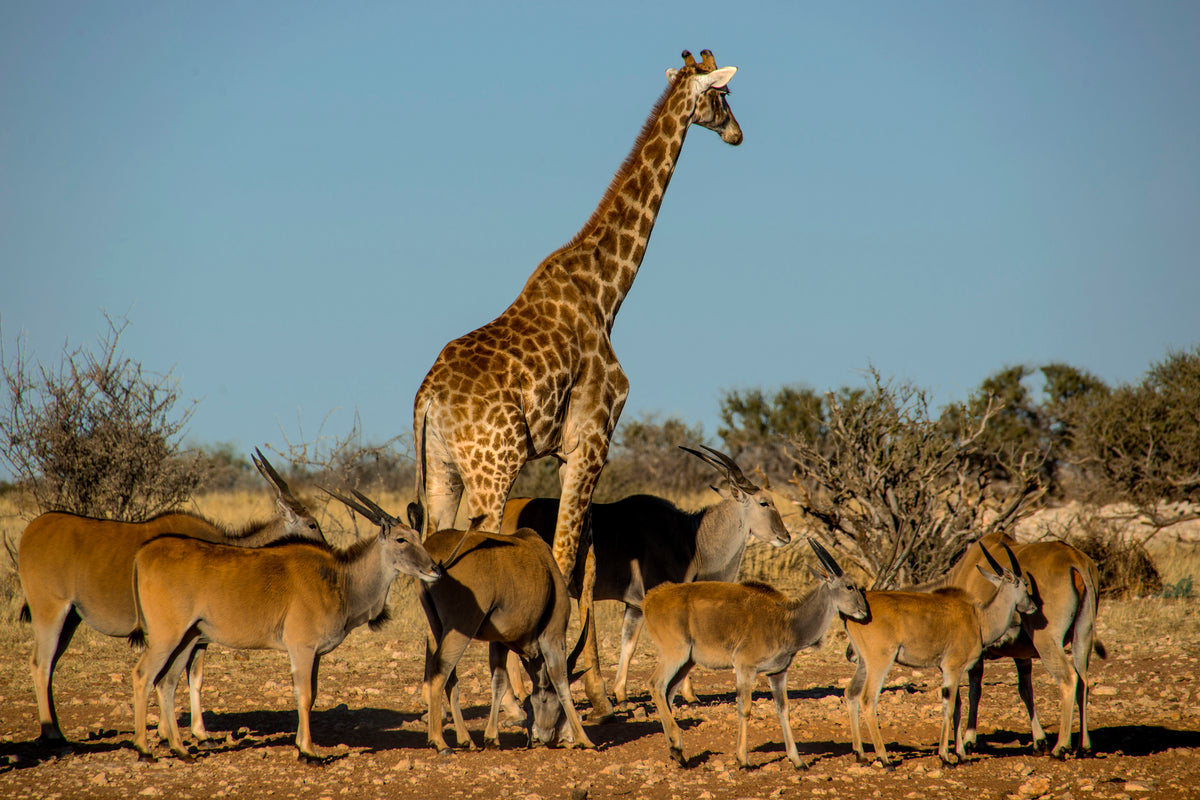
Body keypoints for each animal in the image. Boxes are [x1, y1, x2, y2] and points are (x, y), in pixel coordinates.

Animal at [411, 49, 742, 713]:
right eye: (722, 97)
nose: (739, 133)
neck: (607, 292)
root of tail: (427, 398)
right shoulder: (593, 433)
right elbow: (563, 557)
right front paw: (552, 681)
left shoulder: (573, 449)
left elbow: (584, 553)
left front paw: (594, 690)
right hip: (493, 468)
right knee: (481, 551)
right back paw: (507, 696)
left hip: (444, 472)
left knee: (432, 552)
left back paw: (448, 692)